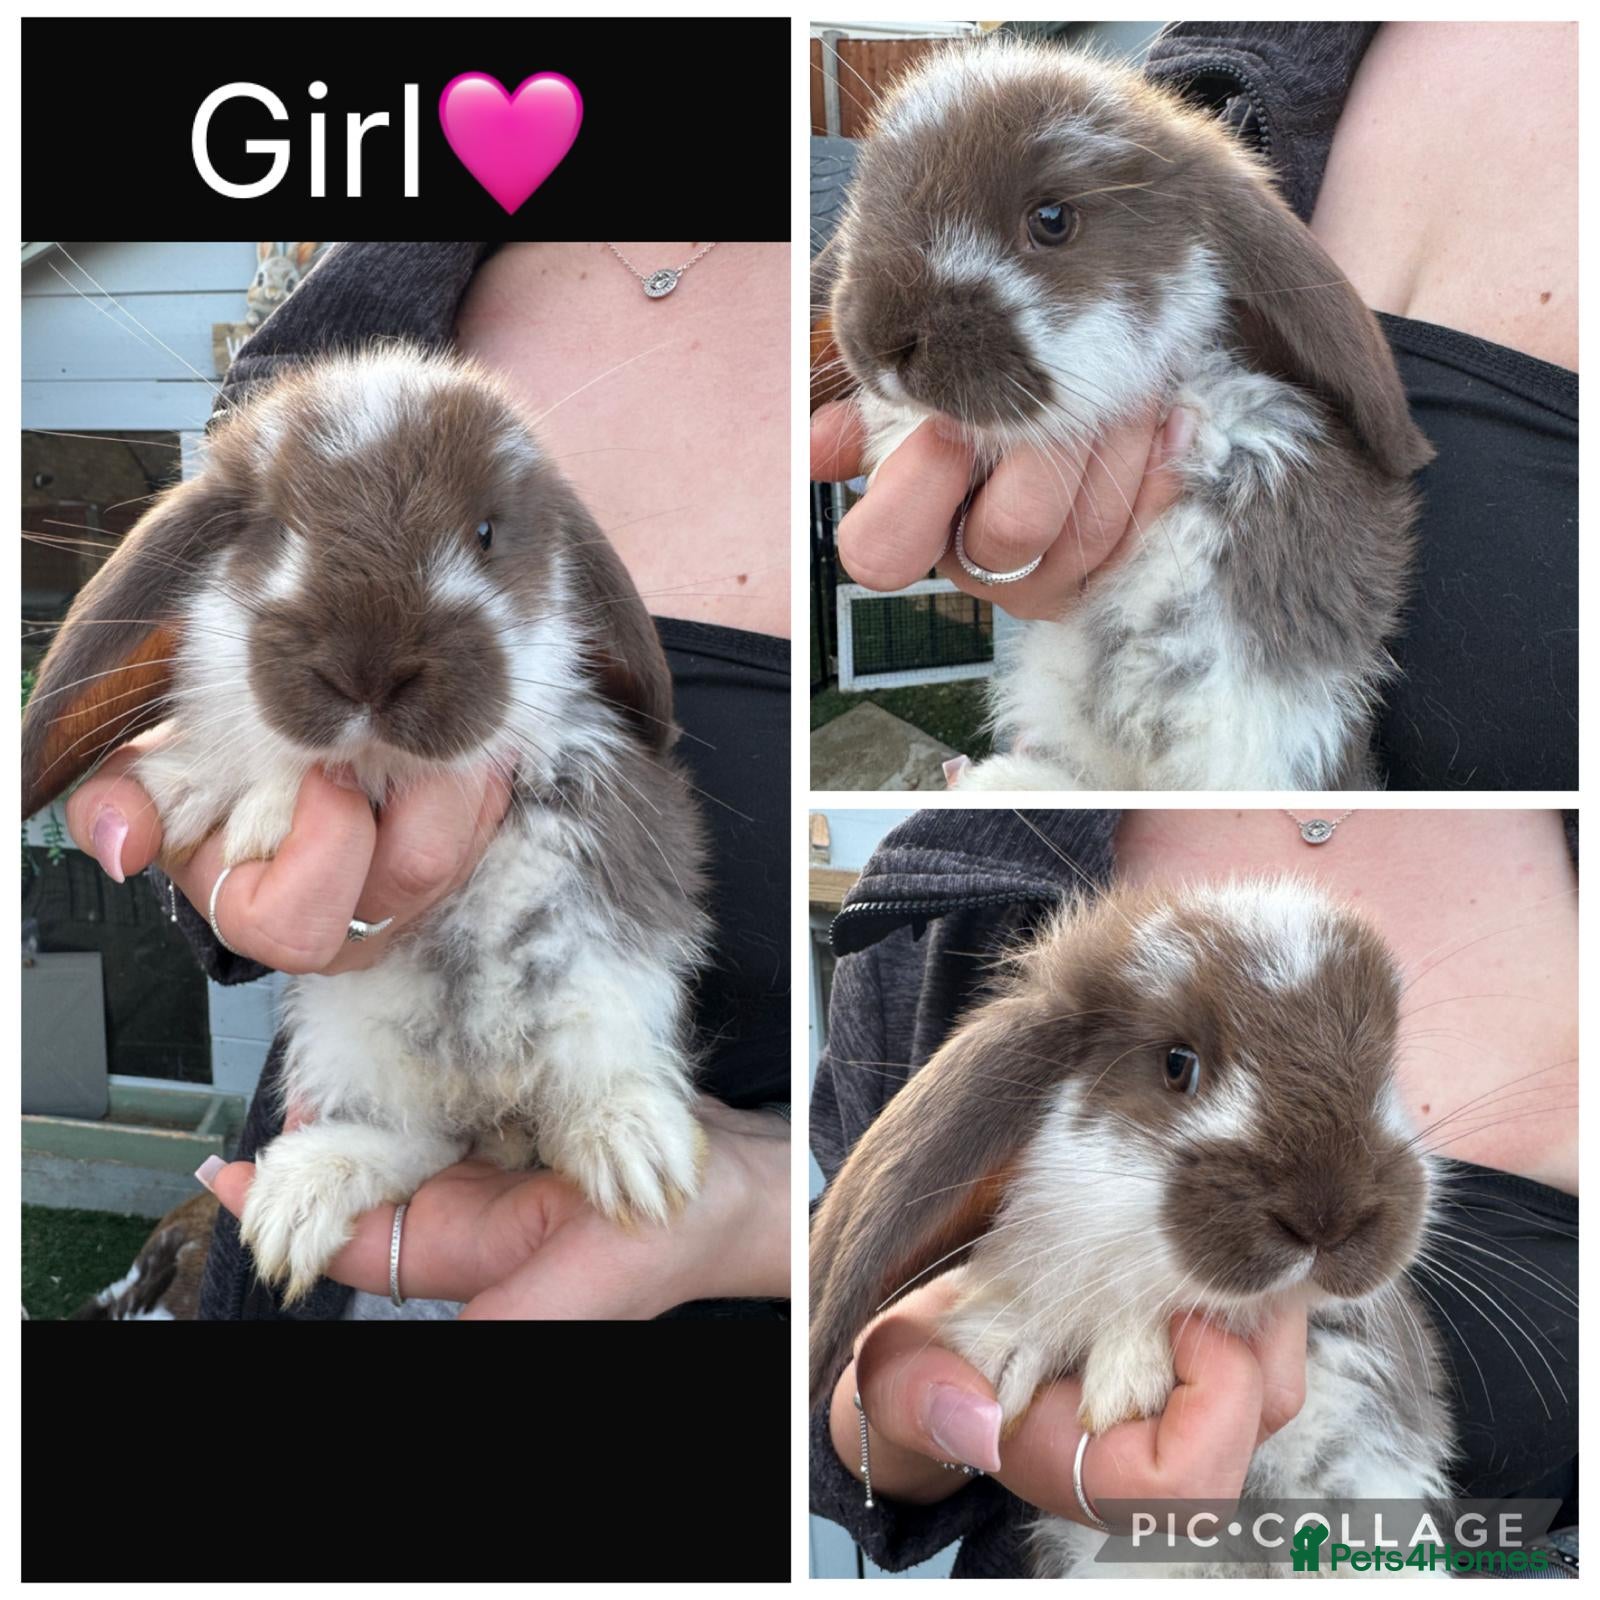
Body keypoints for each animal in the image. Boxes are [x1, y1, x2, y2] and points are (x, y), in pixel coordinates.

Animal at [21, 343, 711, 1304]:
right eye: (275, 527)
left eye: (487, 532)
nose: (369, 670)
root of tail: (490, 1102)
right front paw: (213, 795)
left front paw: (266, 807)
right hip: (353, 1038)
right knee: (417, 1137)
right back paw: (300, 1198)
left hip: (605, 993)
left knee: (584, 1087)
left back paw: (633, 1152)